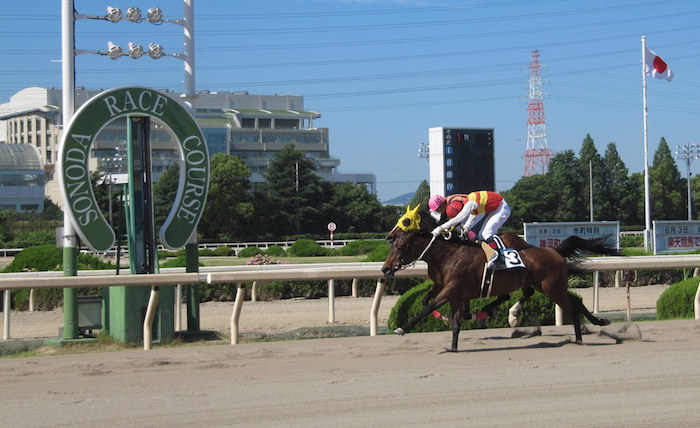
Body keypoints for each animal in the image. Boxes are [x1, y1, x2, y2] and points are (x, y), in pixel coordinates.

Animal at [382, 206, 616, 352]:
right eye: (393, 246)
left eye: (401, 246)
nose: (385, 268)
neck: (449, 254)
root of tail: (554, 251)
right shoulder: (453, 291)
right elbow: (450, 318)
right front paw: (454, 346)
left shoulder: (451, 289)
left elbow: (428, 307)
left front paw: (402, 328)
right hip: (548, 286)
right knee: (573, 301)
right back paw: (592, 327)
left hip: (551, 287)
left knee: (571, 306)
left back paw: (579, 336)